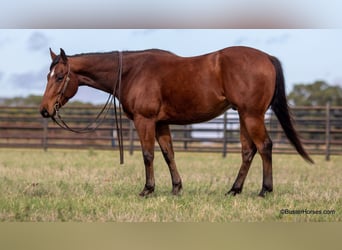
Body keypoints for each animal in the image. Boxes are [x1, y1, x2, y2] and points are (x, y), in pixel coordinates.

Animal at [39, 46, 312, 197]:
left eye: (60, 76)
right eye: (47, 76)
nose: (44, 110)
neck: (131, 71)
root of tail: (266, 57)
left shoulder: (145, 121)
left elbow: (148, 155)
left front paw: (147, 189)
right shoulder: (161, 123)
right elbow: (168, 154)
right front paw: (176, 188)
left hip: (252, 115)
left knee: (265, 147)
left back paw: (265, 190)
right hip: (244, 116)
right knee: (248, 151)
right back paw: (234, 190)